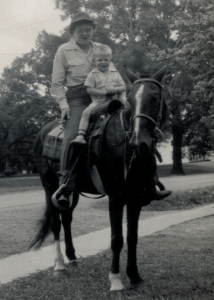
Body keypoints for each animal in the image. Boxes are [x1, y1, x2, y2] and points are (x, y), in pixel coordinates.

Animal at [30, 65, 170, 290]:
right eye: (130, 99)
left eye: (155, 97)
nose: (139, 142)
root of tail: (43, 131)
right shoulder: (116, 197)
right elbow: (116, 238)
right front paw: (116, 280)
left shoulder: (136, 197)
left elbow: (132, 236)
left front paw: (134, 276)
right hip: (49, 186)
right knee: (55, 223)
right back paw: (59, 265)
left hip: (71, 191)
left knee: (67, 218)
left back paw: (72, 257)